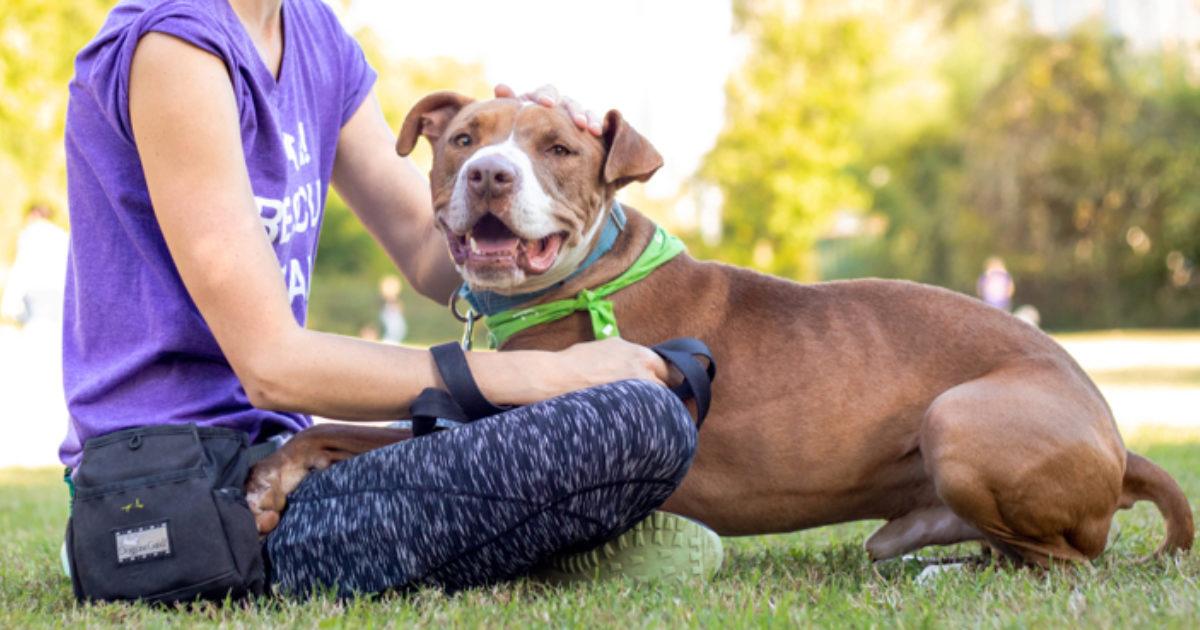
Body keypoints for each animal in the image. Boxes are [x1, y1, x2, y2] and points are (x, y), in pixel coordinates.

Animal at [246, 94, 1190, 564]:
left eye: (558, 148)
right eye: (464, 138)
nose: (487, 174)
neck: (585, 279)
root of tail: (1117, 435)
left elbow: (357, 433)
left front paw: (273, 474)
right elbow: (360, 428)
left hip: (958, 416)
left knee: (1070, 559)